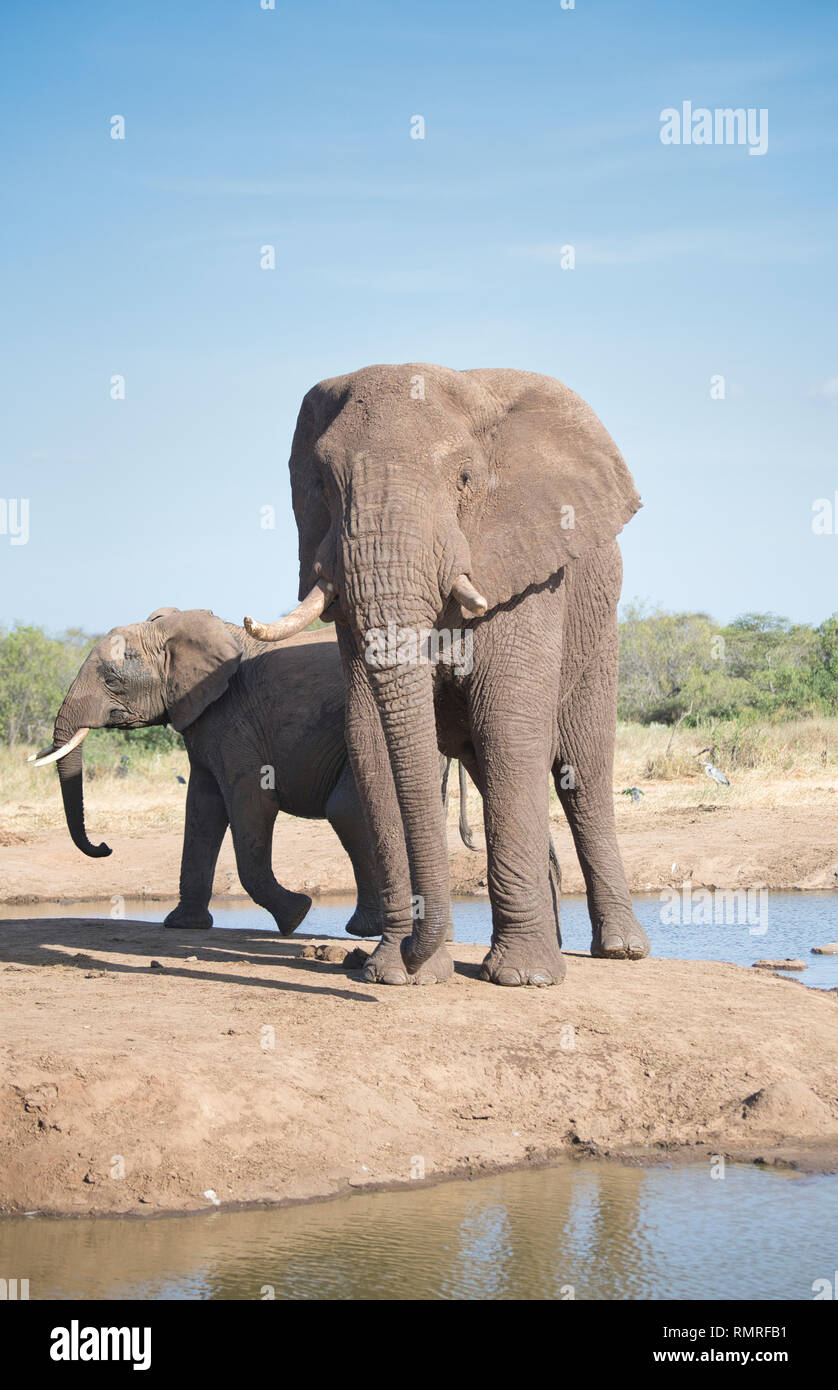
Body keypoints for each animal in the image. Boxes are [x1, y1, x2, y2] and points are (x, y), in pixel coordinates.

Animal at [30, 608, 386, 934]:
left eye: (112, 681)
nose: (105, 847)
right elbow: (202, 809)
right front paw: (183, 925)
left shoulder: (235, 719)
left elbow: (252, 803)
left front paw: (296, 916)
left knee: (345, 811)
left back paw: (364, 929)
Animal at [245, 364, 653, 984]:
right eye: (321, 484)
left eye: (464, 479)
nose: (410, 950)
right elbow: (370, 736)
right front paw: (395, 973)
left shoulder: (528, 569)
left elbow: (508, 725)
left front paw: (523, 980)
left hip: (598, 629)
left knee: (581, 770)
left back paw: (620, 950)